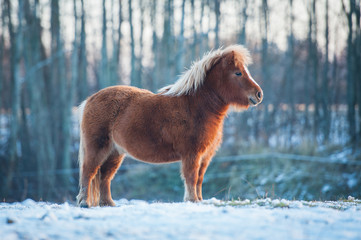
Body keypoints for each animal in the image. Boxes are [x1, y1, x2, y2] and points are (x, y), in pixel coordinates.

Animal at [76, 44, 262, 206]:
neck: (196, 106)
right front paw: (192, 200)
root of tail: (90, 100)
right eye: (238, 73)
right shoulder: (192, 154)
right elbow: (191, 177)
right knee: (88, 172)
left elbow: (200, 178)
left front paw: (199, 200)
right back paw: (84, 202)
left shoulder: (204, 156)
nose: (259, 94)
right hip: (97, 148)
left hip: (115, 153)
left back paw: (108, 203)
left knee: (104, 177)